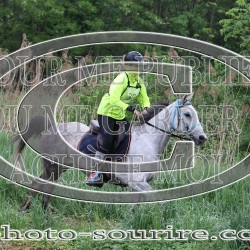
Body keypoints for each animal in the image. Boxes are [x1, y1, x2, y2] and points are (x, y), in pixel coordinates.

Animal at [14, 94, 207, 211]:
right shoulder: (137, 183)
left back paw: (36, 210)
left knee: (44, 186)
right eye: (187, 114)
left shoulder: (137, 187)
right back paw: (34, 211)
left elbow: (135, 206)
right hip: (52, 167)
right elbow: (156, 199)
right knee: (41, 185)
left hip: (58, 168)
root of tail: (51, 127)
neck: (148, 141)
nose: (202, 138)